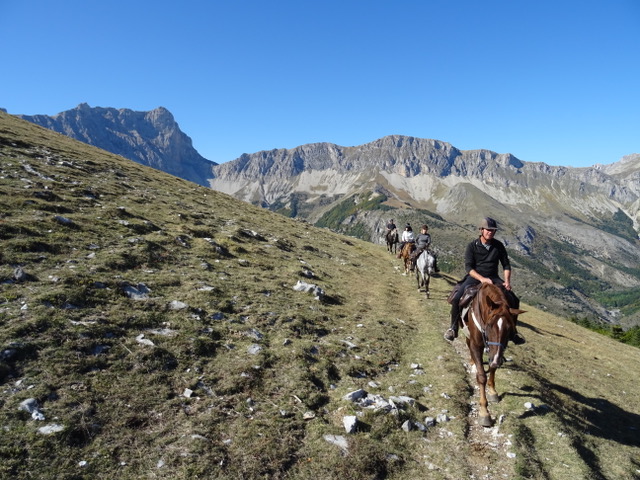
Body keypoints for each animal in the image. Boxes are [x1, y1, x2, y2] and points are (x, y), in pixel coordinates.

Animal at [460, 284, 524, 426]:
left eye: (510, 329)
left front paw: (493, 391)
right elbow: (481, 376)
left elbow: (493, 368)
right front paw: (484, 412)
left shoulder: (497, 352)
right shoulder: (476, 345)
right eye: (489, 325)